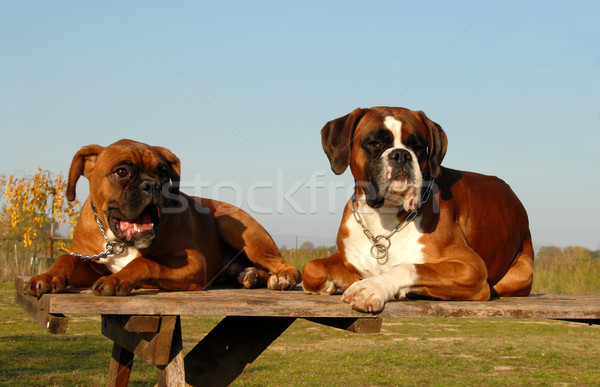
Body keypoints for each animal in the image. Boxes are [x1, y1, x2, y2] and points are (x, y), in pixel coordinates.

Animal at [24, 139, 300, 298]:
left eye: (164, 173)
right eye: (121, 172)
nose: (152, 185)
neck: (119, 242)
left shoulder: (193, 263)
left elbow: (145, 262)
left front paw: (117, 279)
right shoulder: (90, 263)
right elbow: (65, 259)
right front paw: (45, 277)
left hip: (234, 226)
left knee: (286, 267)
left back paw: (280, 278)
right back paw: (247, 276)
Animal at [302, 107, 532, 314]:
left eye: (418, 147)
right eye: (374, 143)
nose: (401, 155)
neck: (384, 216)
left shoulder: (471, 268)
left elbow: (408, 267)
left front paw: (372, 287)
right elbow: (310, 267)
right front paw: (328, 285)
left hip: (518, 275)